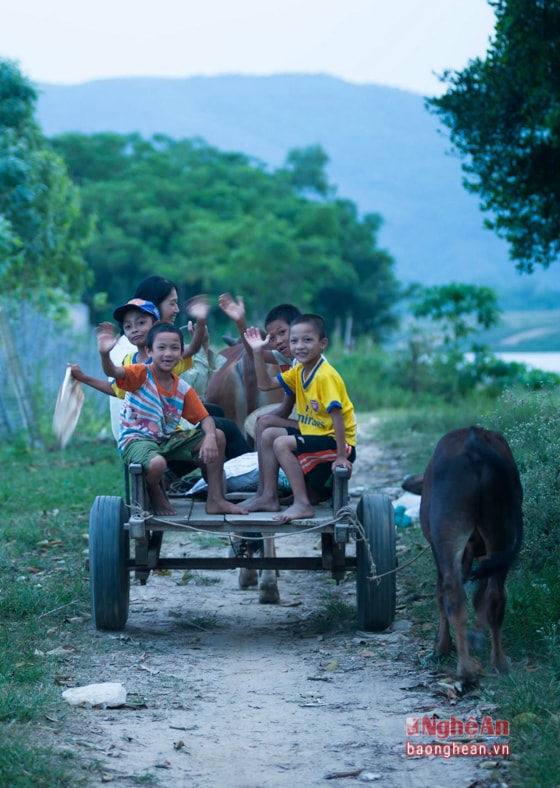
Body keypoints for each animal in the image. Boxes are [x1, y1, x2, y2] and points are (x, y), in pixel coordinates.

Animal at [422, 428, 524, 680]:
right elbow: (480, 596)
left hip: (447, 534)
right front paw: (477, 635)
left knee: (452, 594)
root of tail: (473, 438)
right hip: (501, 532)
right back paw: (499, 663)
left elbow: (440, 594)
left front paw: (441, 647)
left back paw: (465, 668)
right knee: (495, 598)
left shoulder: (437, 550)